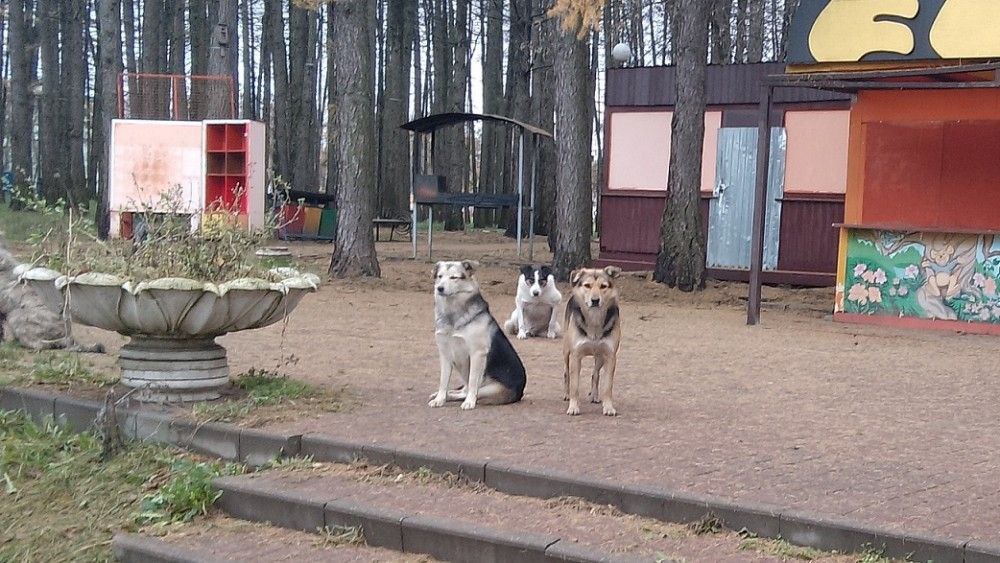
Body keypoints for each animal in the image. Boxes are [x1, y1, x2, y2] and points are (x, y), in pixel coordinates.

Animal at [428, 260, 528, 410]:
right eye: (440, 276)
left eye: (454, 277)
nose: (439, 288)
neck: (452, 315)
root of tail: (521, 392)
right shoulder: (444, 354)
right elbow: (443, 381)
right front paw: (439, 399)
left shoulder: (477, 353)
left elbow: (473, 381)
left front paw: (469, 402)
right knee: (460, 391)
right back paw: (441, 395)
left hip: (490, 389)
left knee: (469, 391)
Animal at [560, 266, 620, 416]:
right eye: (587, 285)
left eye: (603, 286)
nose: (595, 300)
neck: (594, 319)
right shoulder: (576, 356)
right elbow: (575, 385)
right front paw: (573, 407)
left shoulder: (610, 355)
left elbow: (607, 386)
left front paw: (608, 407)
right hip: (566, 351)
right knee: (566, 372)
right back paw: (566, 394)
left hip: (600, 356)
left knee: (595, 374)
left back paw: (594, 396)